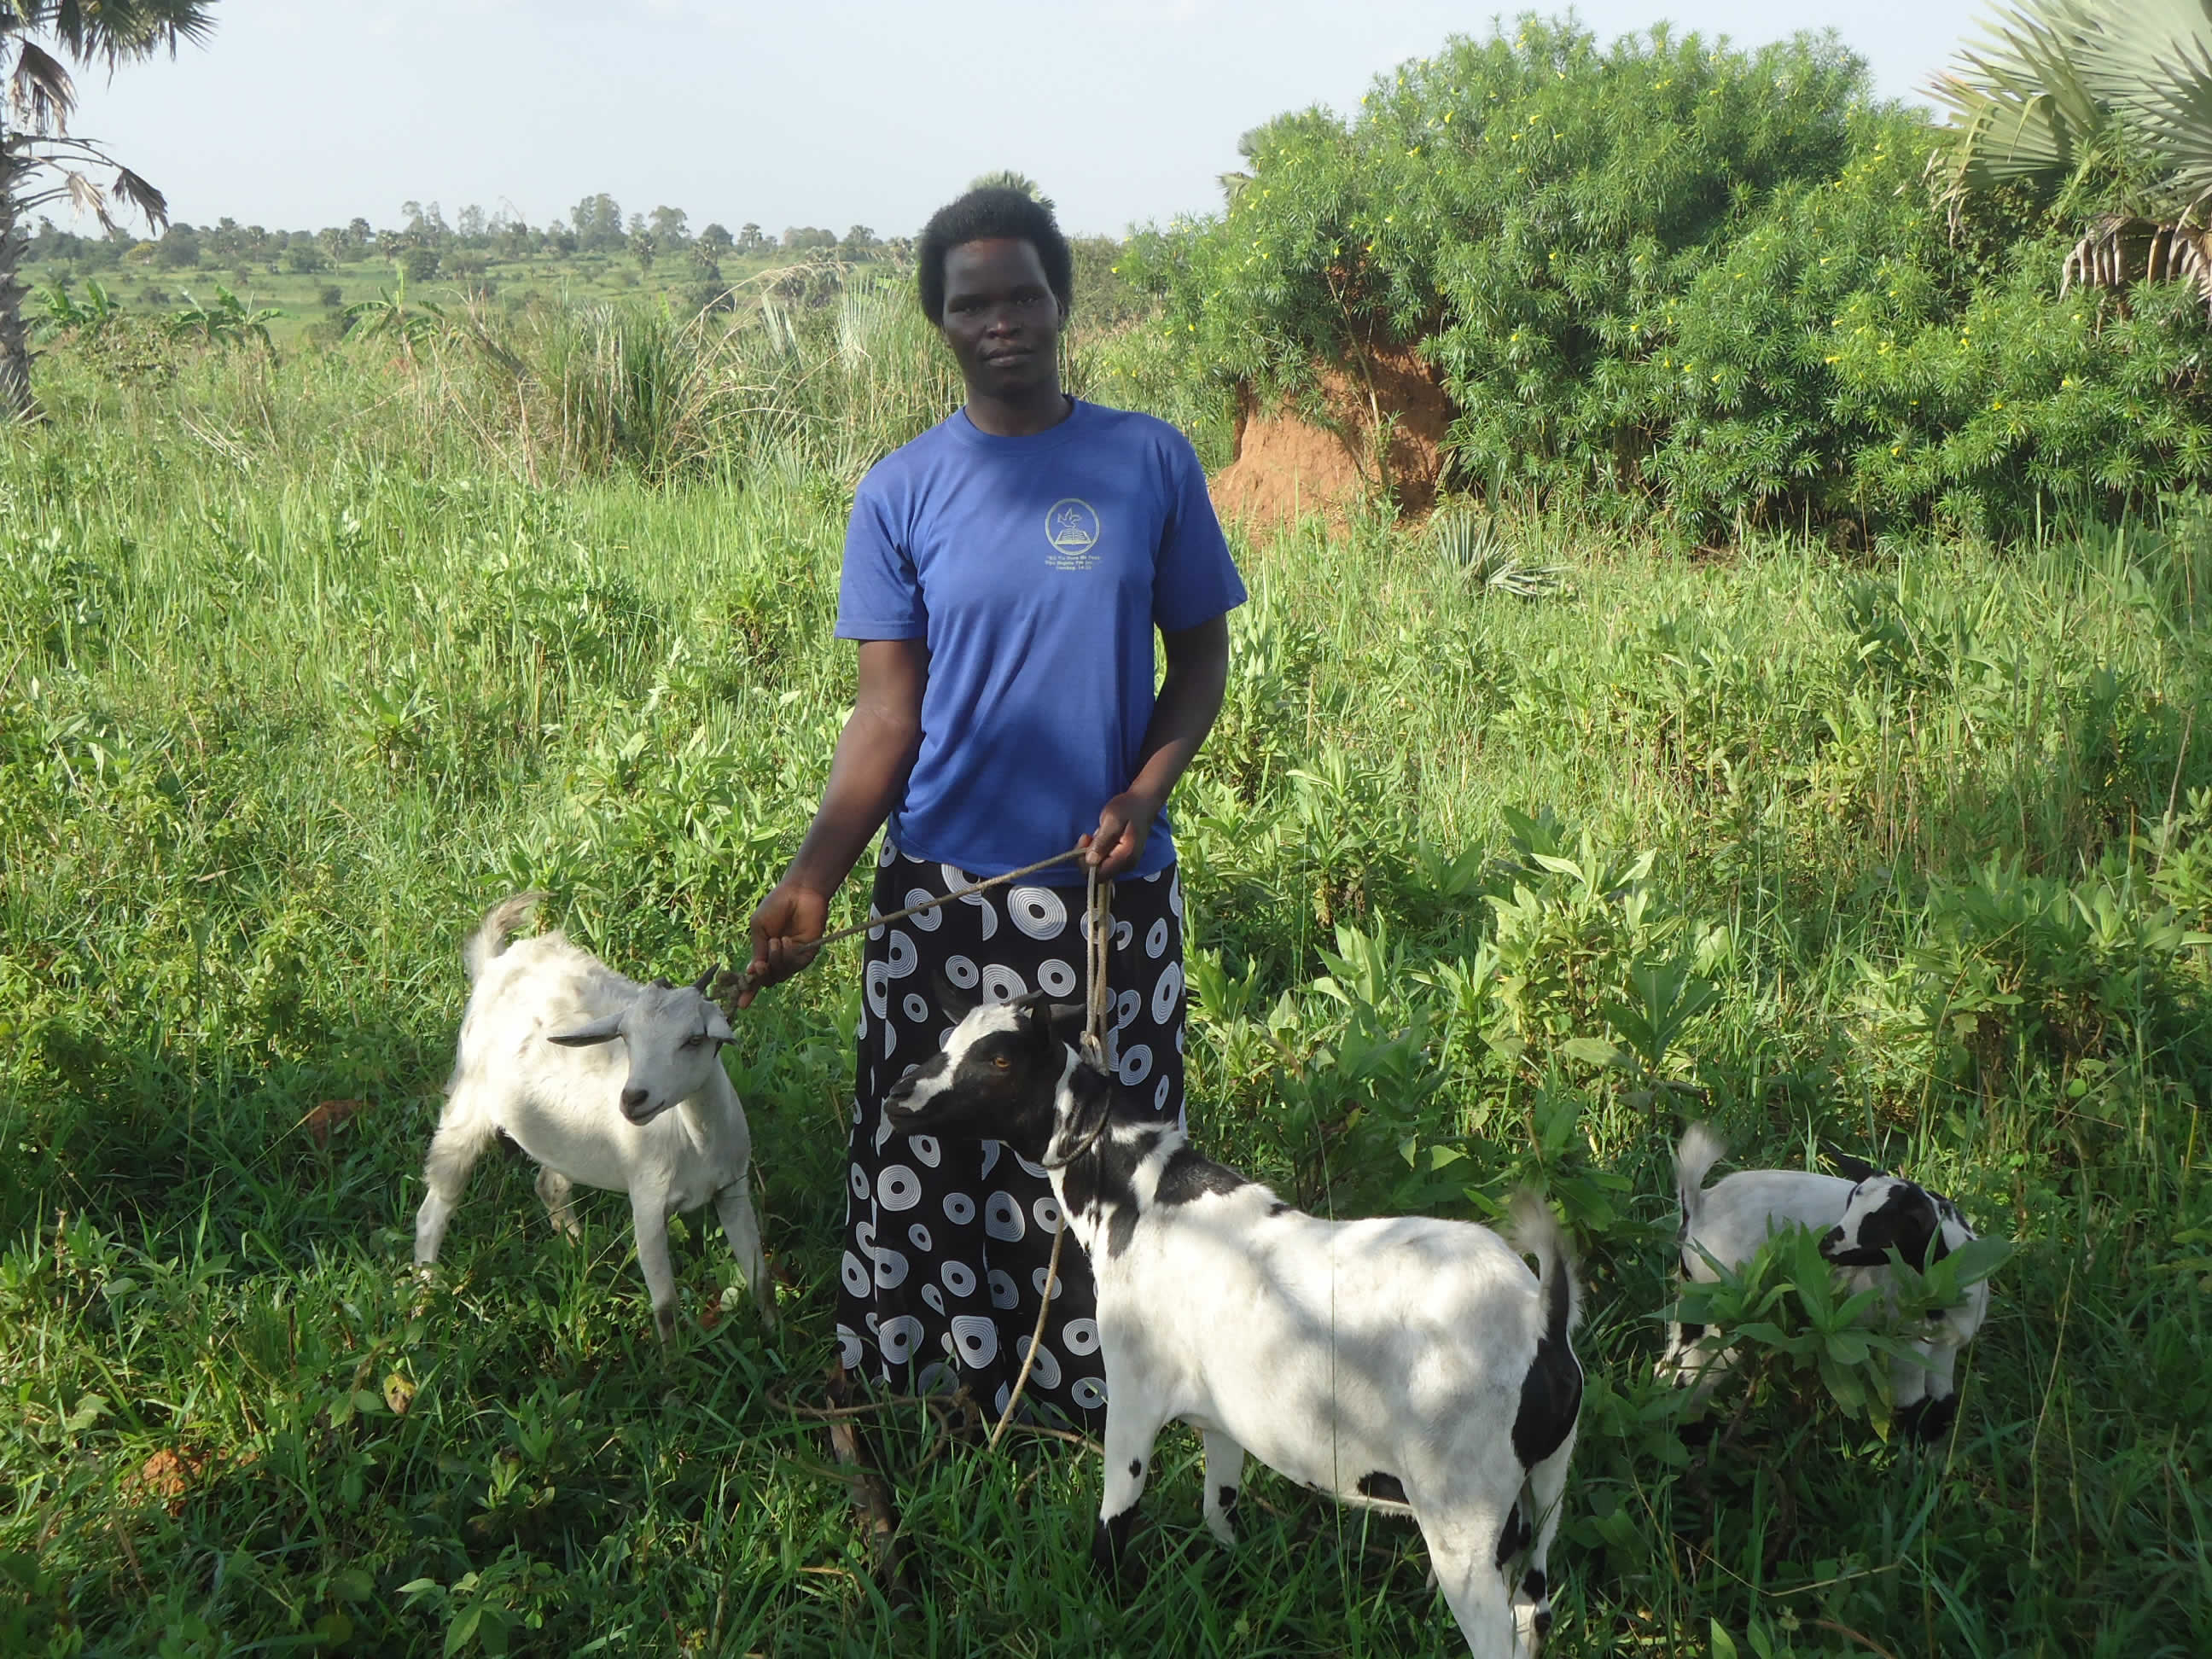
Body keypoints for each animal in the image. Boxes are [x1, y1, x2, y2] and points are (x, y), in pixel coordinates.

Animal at [412, 893, 771, 1340]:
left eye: (693, 1039)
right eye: (626, 1037)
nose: (633, 1099)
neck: (696, 1139)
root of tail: (495, 962)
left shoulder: (733, 1188)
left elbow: (759, 1278)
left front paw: (777, 1336)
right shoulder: (647, 1204)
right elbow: (666, 1308)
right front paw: (673, 1357)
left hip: (560, 1135)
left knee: (549, 1185)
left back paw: (578, 1254)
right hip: (469, 1101)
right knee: (435, 1207)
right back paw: (424, 1299)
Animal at [884, 990, 1583, 1659]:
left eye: (1000, 1059)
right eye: (951, 1037)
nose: (898, 1097)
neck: (1138, 1197)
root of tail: (1541, 1325)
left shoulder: (1134, 1392)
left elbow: (1117, 1515)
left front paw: (1098, 1611)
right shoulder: (1221, 1416)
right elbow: (1218, 1504)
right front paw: (1226, 1578)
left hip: (1464, 1515)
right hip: (1543, 1492)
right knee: (1537, 1611)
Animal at [1657, 1123, 1988, 1442]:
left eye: (1882, 1227)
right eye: (1849, 1205)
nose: (1824, 1245)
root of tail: (1697, 1207)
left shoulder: (1945, 1347)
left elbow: (1942, 1405)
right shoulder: (1904, 1348)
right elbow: (1915, 1409)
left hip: (1696, 1299)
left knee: (1675, 1359)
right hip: (1730, 1308)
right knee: (1695, 1370)